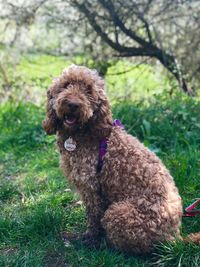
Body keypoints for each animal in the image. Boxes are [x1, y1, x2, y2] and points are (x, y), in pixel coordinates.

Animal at [43, 65, 200, 255]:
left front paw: (91, 239)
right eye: (66, 85)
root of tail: (175, 236)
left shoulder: (90, 186)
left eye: (88, 91)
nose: (73, 104)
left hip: (118, 213)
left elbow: (93, 216)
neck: (84, 132)